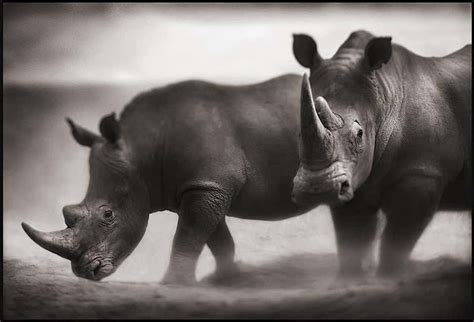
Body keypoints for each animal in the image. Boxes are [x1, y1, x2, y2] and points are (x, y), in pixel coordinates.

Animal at [22, 74, 320, 284]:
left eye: (108, 214)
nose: (85, 272)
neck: (142, 150)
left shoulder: (207, 186)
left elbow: (188, 236)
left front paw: (173, 284)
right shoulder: (202, 186)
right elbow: (216, 237)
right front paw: (225, 278)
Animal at [290, 30, 472, 276]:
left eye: (359, 134)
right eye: (298, 133)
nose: (317, 189)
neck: (382, 100)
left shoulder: (422, 173)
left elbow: (396, 243)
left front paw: (390, 278)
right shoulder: (353, 177)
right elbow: (351, 240)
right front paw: (351, 278)